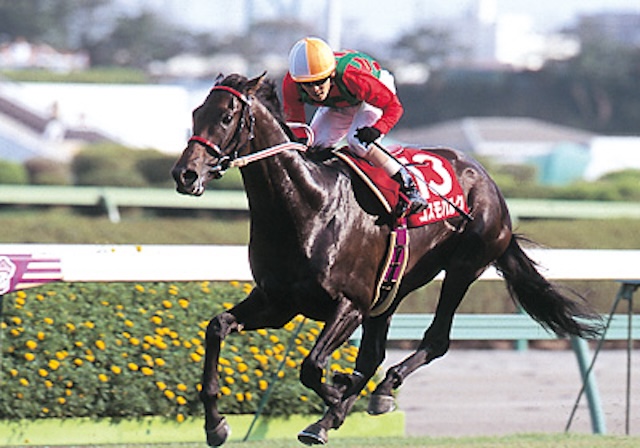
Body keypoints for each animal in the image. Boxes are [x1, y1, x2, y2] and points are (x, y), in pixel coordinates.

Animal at [171, 73, 601, 446]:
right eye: (195, 112)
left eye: (226, 117)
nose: (184, 174)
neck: (307, 207)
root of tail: (485, 178)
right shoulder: (278, 303)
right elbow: (216, 327)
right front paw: (215, 424)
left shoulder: (350, 304)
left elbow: (313, 366)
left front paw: (338, 395)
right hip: (393, 288)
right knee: (375, 352)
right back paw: (349, 406)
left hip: (463, 268)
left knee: (435, 339)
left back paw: (379, 390)